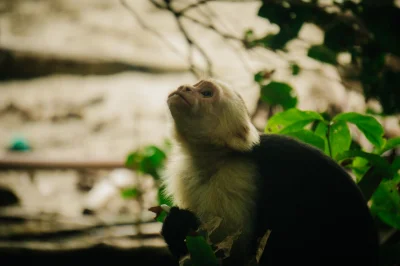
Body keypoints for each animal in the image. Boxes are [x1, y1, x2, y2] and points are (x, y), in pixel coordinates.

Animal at [161, 78, 380, 266]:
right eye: (194, 85)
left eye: (206, 93)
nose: (184, 87)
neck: (215, 160)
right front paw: (176, 228)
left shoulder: (236, 180)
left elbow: (231, 255)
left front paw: (180, 225)